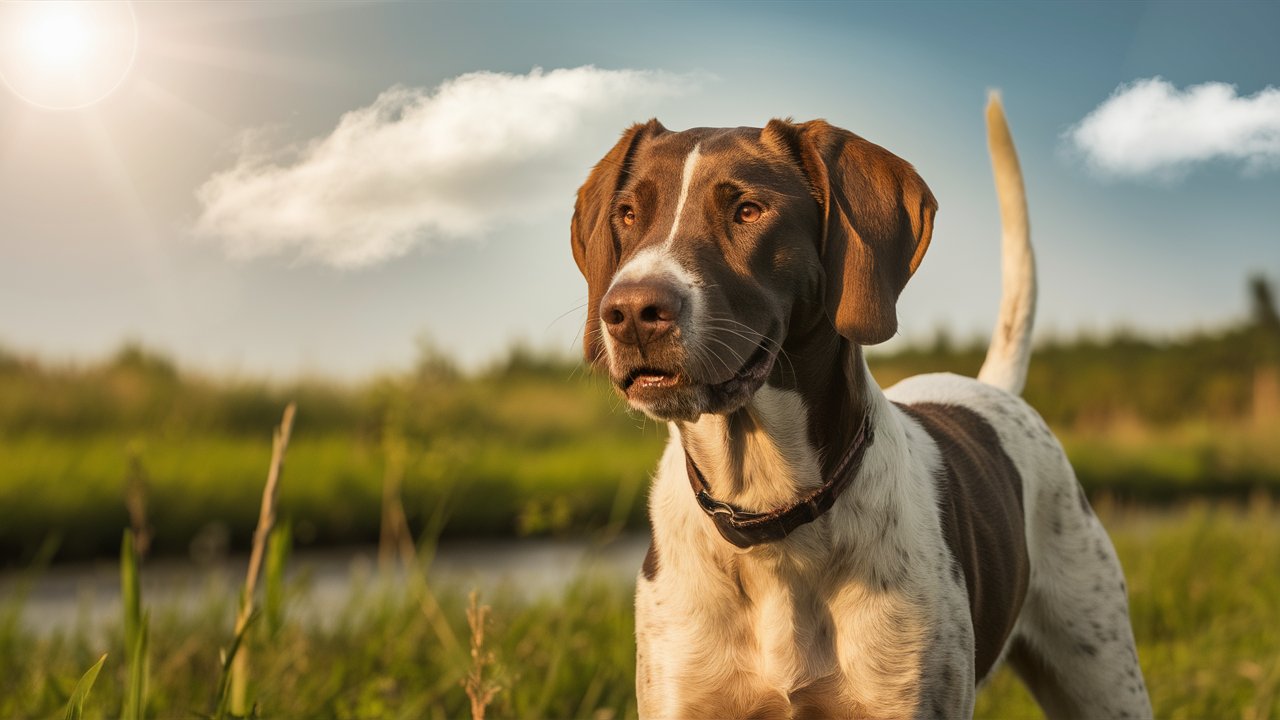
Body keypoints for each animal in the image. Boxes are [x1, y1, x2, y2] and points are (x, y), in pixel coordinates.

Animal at [570, 96, 1152, 717]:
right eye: (628, 214)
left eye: (748, 210)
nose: (632, 312)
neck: (770, 517)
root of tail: (993, 388)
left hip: (1104, 674)